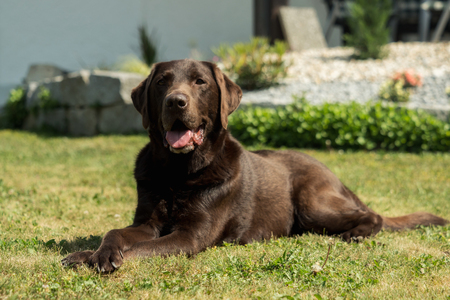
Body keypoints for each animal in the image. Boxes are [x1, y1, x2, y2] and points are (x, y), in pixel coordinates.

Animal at [61, 58, 448, 272]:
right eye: (161, 82)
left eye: (200, 82)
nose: (176, 101)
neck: (178, 173)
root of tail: (329, 171)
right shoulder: (146, 222)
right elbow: (116, 233)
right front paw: (92, 254)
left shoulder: (190, 236)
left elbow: (142, 250)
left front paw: (97, 257)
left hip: (314, 203)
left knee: (375, 216)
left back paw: (355, 233)